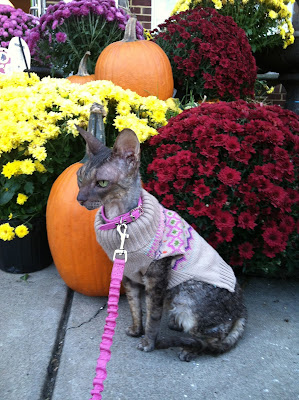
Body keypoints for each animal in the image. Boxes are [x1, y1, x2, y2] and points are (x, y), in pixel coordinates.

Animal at [76, 126, 247, 362]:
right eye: (80, 178)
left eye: (101, 183)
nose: (79, 198)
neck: (120, 222)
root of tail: (241, 311)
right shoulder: (128, 275)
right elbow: (134, 306)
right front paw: (135, 329)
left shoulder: (155, 279)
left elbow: (153, 316)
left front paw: (148, 342)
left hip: (188, 294)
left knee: (212, 338)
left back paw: (188, 348)